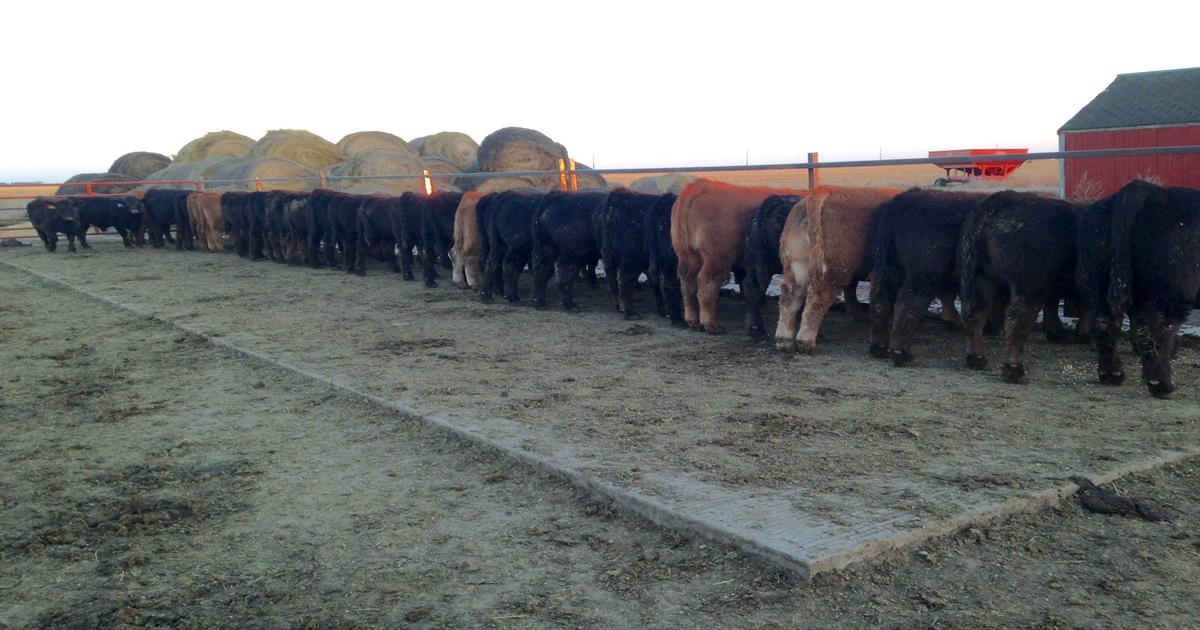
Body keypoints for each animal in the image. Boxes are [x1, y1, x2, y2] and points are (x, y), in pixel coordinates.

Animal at [672, 180, 807, 334]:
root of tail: (700, 186)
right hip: (717, 259)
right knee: (707, 285)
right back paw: (711, 325)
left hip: (689, 256)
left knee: (688, 286)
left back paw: (693, 321)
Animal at [775, 186, 906, 353]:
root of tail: (825, 191)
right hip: (834, 269)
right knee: (819, 296)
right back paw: (805, 342)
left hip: (797, 264)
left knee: (790, 296)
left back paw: (784, 341)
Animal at [959, 190, 1086, 383]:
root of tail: (1002, 202)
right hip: (1027, 285)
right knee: (1018, 318)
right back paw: (1014, 369)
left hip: (980, 279)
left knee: (973, 313)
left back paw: (977, 358)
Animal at [1077, 179, 1200, 399]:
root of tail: (1143, 189)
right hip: (1172, 293)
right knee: (1156, 332)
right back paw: (1161, 384)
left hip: (1096, 282)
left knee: (1103, 324)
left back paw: (1111, 373)